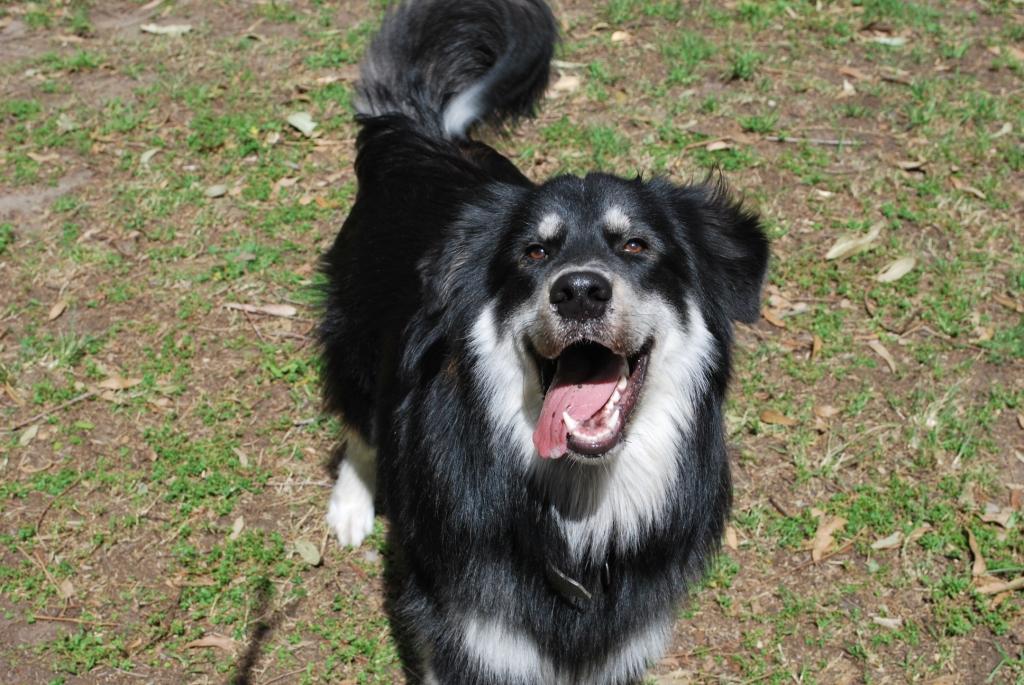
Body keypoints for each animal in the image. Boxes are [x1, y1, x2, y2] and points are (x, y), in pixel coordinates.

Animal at [319, 1, 769, 682]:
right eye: (533, 253)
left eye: (635, 245)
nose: (579, 291)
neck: (580, 514)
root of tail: (417, 133)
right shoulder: (465, 633)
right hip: (356, 338)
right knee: (360, 423)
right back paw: (351, 505)